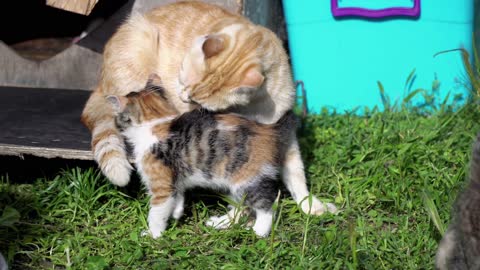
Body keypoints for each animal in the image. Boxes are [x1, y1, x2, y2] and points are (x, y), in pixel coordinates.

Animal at [81, 0, 338, 218]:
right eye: (181, 79)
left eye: (201, 103)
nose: (183, 100)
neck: (251, 109)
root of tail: (99, 82)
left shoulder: (283, 134)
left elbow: (297, 174)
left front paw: (311, 205)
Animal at [107, 75, 298, 237]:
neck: (155, 123)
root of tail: (269, 130)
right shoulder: (175, 176)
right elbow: (178, 192)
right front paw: (176, 212)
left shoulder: (160, 183)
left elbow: (157, 212)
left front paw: (153, 234)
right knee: (241, 206)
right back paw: (220, 223)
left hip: (248, 178)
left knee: (266, 204)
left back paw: (260, 231)